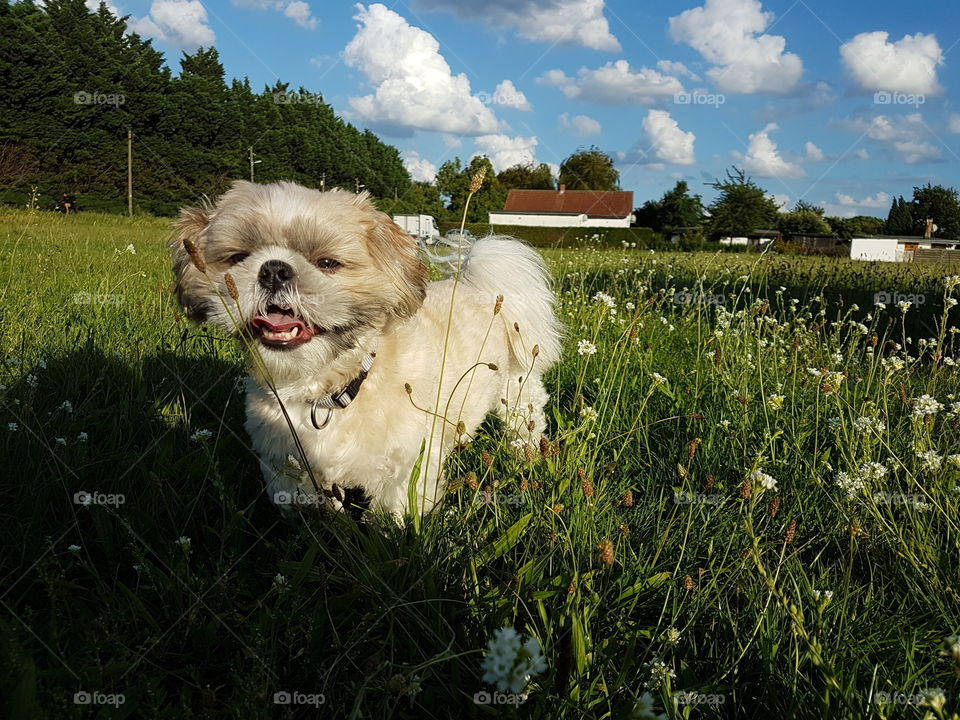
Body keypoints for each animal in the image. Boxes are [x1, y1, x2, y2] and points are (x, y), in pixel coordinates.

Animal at [172, 183, 564, 516]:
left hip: (516, 394)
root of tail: (483, 291)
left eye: (327, 263)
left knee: (525, 425)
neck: (333, 390)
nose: (274, 270)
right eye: (239, 257)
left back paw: (526, 455)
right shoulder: (289, 467)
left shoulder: (405, 473)